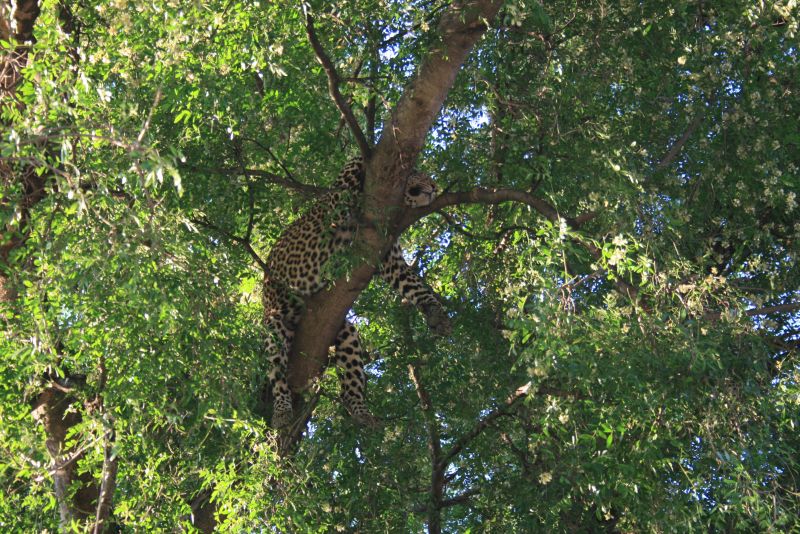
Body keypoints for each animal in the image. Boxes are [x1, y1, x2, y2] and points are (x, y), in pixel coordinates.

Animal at [262, 157, 450, 430]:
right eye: (422, 176)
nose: (435, 187)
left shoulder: (389, 257)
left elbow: (413, 284)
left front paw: (435, 313)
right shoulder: (336, 204)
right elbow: (351, 168)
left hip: (344, 330)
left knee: (349, 382)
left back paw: (361, 411)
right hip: (275, 322)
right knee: (278, 374)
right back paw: (282, 410)